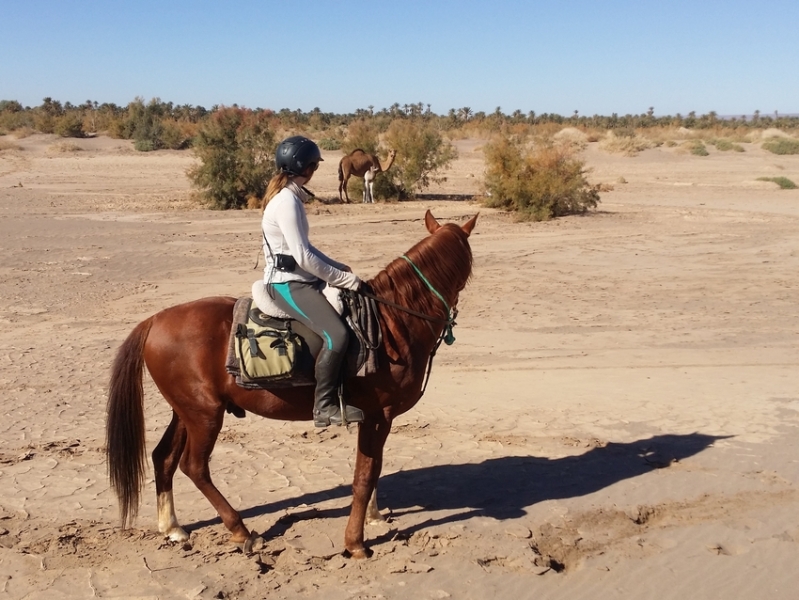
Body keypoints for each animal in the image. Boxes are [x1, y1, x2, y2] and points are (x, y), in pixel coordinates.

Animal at [108, 210, 478, 556]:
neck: (390, 323)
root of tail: (154, 320)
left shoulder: (375, 419)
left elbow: (372, 469)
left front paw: (371, 517)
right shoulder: (378, 415)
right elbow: (365, 474)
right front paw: (355, 542)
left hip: (187, 411)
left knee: (163, 457)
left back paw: (172, 527)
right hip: (205, 416)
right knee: (194, 467)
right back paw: (240, 530)